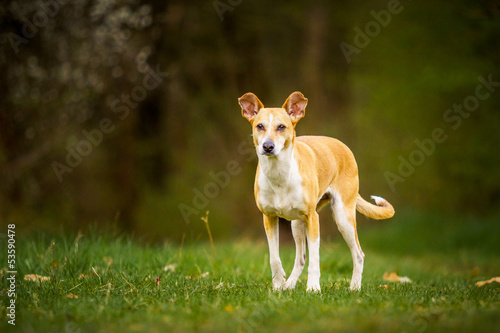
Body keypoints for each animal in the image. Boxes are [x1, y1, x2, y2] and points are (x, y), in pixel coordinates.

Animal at [238, 90, 394, 290]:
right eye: (259, 126)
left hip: (343, 216)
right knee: (300, 258)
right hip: (297, 223)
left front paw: (313, 288)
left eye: (281, 127)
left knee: (358, 254)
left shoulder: (313, 218)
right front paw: (278, 284)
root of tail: (343, 146)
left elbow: (315, 258)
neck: (279, 173)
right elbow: (274, 257)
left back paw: (354, 288)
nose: (268, 146)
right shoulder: (269, 217)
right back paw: (289, 285)